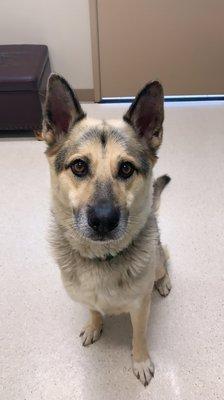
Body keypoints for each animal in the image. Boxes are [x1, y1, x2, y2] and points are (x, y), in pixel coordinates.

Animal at [39, 73, 172, 386]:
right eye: (78, 166)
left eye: (126, 169)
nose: (103, 220)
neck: (101, 257)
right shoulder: (86, 297)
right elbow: (93, 309)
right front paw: (94, 325)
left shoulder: (140, 308)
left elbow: (139, 337)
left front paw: (140, 361)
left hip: (159, 261)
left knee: (165, 262)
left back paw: (163, 282)